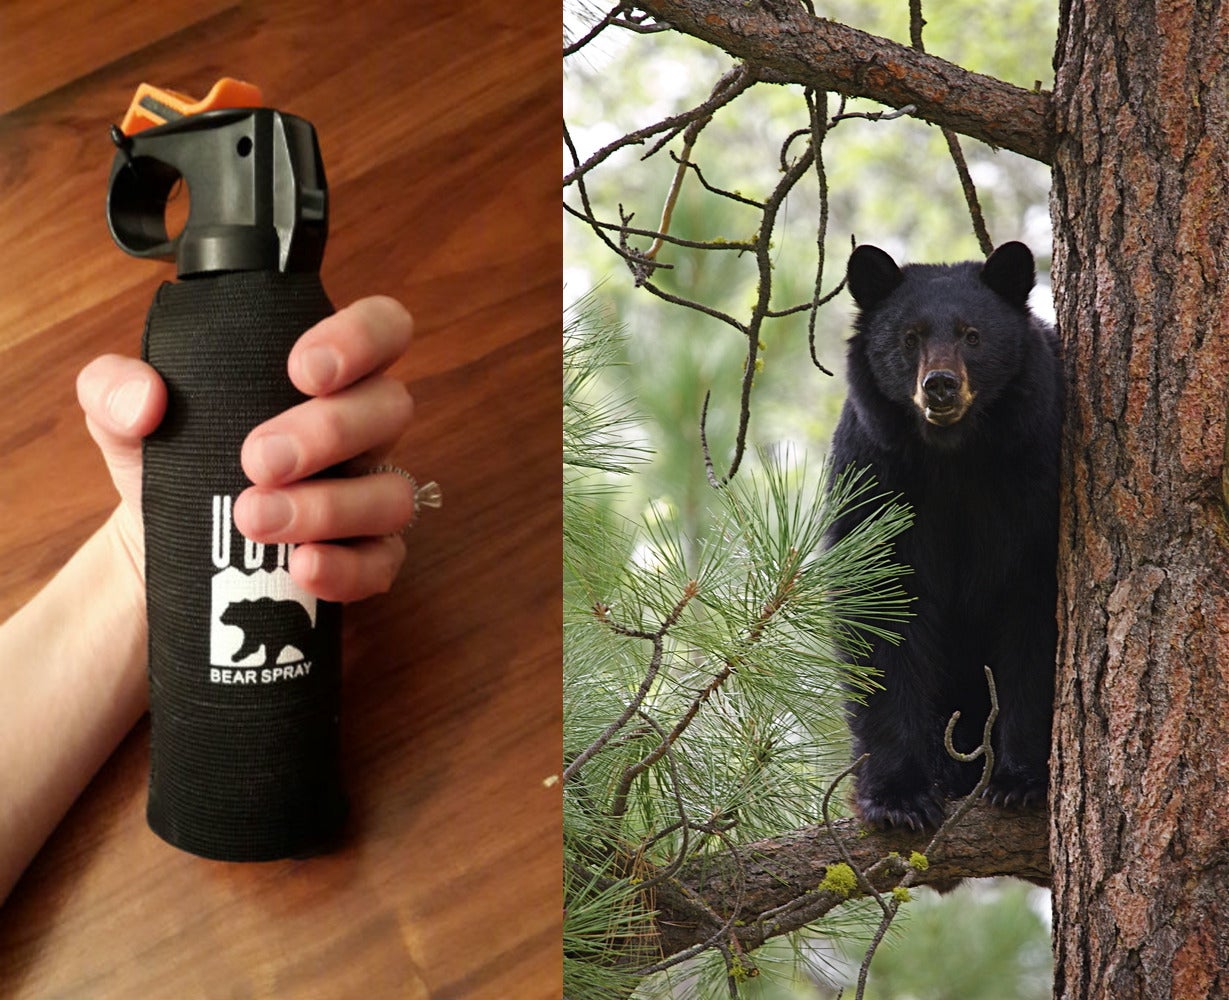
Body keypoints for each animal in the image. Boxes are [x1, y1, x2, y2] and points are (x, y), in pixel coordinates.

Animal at [830, 240, 1061, 830]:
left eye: (972, 335)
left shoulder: (1037, 477)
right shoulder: (875, 476)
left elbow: (1036, 617)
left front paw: (1021, 780)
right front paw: (898, 797)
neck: (954, 457)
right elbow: (881, 610)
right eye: (909, 337)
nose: (940, 385)